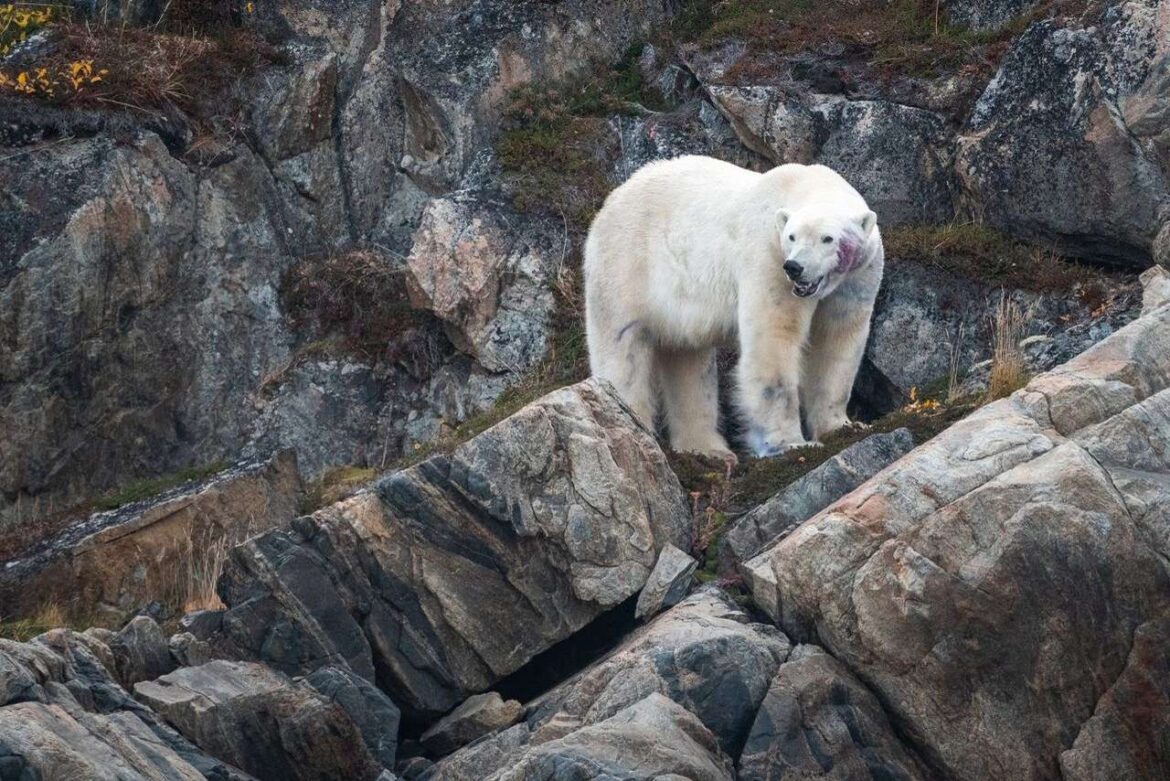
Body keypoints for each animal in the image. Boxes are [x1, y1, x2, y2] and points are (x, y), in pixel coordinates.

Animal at [580, 154, 879, 458]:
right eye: (792, 236)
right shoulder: (768, 257)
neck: (804, 185)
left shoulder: (857, 277)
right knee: (623, 348)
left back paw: (707, 448)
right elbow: (774, 337)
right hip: (626, 267)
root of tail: (608, 204)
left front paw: (842, 426)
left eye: (828, 238)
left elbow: (837, 341)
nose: (795, 267)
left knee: (688, 362)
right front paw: (789, 442)